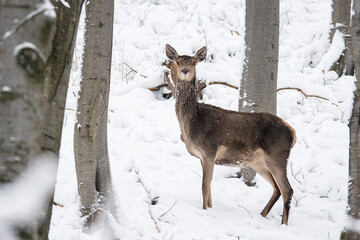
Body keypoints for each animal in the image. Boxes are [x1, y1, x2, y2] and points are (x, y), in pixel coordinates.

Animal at [165, 43, 296, 225]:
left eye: (193, 62)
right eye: (178, 61)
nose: (185, 71)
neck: (191, 123)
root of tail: (293, 133)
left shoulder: (209, 150)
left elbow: (204, 185)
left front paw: (205, 211)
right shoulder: (202, 156)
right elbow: (209, 185)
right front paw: (210, 208)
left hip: (277, 155)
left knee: (287, 190)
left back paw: (283, 224)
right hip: (259, 161)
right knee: (277, 188)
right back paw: (262, 215)